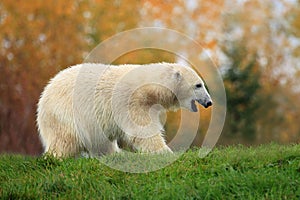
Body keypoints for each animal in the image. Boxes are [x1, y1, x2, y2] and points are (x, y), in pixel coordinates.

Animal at [36, 63, 212, 158]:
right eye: (198, 85)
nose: (209, 102)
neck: (147, 86)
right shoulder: (131, 101)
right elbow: (141, 129)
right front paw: (165, 152)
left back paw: (116, 154)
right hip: (65, 113)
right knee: (64, 140)